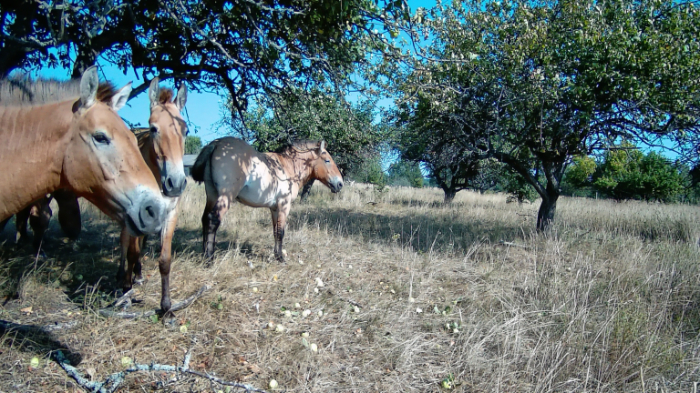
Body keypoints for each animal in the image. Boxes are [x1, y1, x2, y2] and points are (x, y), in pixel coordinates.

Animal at [191, 138, 344, 260]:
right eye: (327, 160)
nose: (340, 184)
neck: (288, 166)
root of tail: (216, 144)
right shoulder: (284, 205)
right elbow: (281, 232)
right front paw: (281, 258)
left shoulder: (274, 208)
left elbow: (276, 231)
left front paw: (277, 255)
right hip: (225, 197)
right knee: (213, 219)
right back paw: (209, 258)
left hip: (211, 195)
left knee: (205, 219)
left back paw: (204, 254)